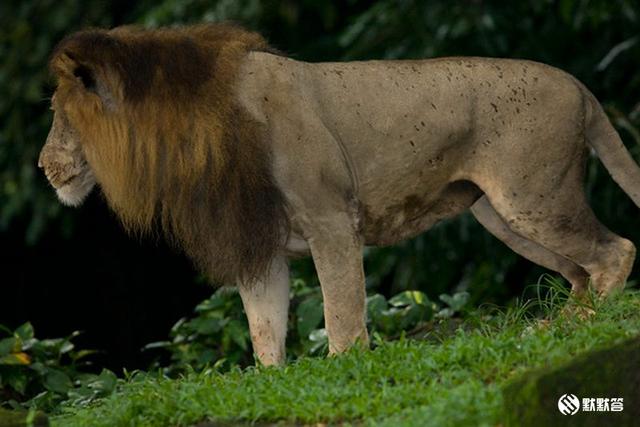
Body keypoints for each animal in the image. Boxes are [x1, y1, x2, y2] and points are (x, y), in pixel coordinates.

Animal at [41, 23, 640, 366]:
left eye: (58, 114)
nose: (44, 167)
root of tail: (579, 85)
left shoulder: (330, 219)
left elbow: (341, 309)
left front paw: (345, 364)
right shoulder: (260, 243)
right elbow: (263, 327)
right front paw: (272, 382)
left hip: (531, 197)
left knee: (616, 251)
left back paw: (588, 326)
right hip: (501, 213)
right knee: (580, 269)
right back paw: (555, 326)